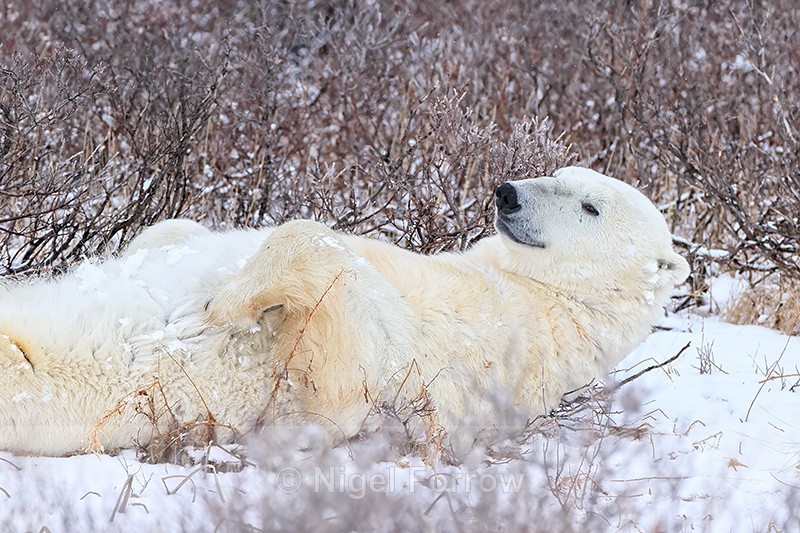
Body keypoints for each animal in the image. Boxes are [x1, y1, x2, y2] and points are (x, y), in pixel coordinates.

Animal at [0, 167, 690, 456]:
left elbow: (341, 343)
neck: (550, 301)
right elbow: (172, 232)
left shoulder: (462, 343)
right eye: (557, 170)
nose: (508, 192)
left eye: (590, 206)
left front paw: (216, 307)